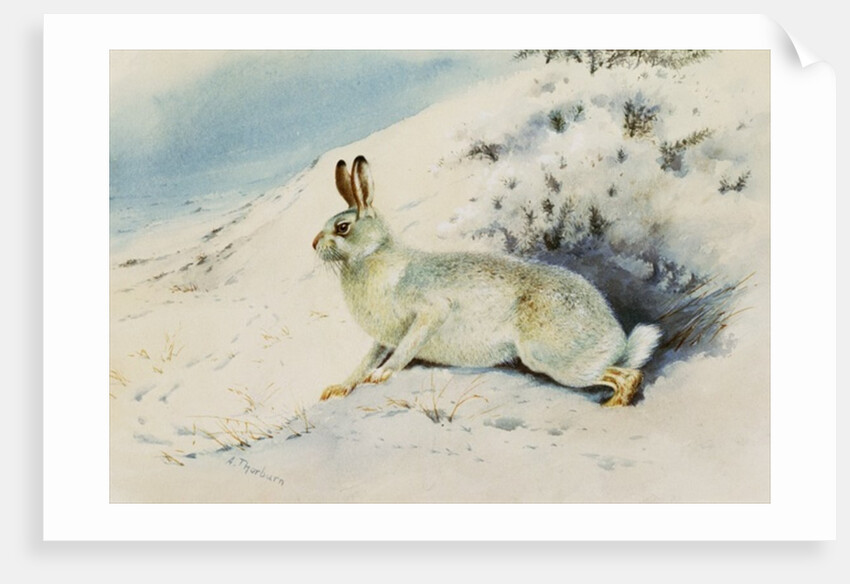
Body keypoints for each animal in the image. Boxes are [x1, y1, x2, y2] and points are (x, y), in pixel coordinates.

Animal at [312, 156, 662, 407]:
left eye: (342, 227)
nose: (313, 244)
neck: (371, 257)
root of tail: (617, 339)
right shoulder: (383, 338)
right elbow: (363, 362)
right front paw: (338, 388)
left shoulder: (429, 311)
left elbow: (407, 346)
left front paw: (382, 374)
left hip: (551, 356)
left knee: (627, 375)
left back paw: (613, 406)